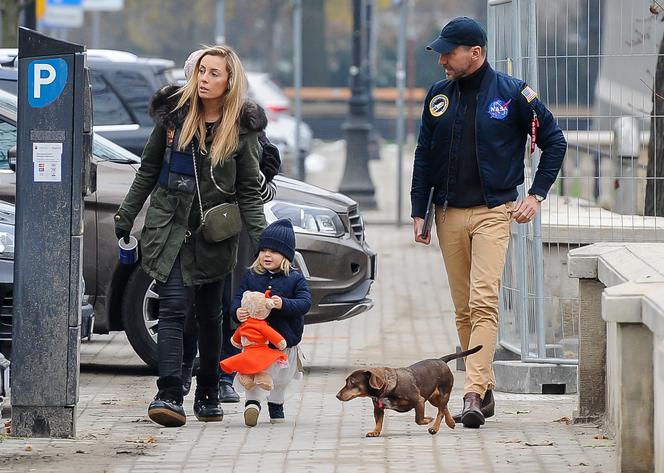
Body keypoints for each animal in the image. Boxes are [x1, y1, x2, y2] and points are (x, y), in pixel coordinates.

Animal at [338, 344, 482, 436]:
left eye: (352, 382)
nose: (337, 395)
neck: (386, 387)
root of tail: (441, 361)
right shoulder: (378, 409)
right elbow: (379, 422)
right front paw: (375, 432)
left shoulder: (419, 401)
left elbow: (419, 419)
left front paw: (427, 420)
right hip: (434, 397)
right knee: (444, 407)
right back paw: (451, 422)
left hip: (443, 393)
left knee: (440, 411)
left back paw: (434, 428)